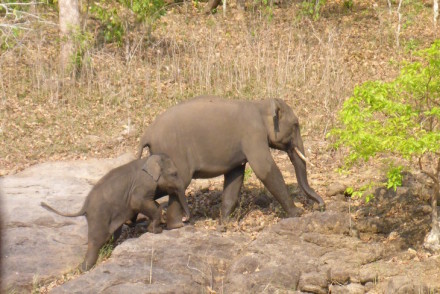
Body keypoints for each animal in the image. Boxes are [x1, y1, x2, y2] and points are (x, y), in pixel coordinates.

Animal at [41, 154, 191, 272]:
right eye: (174, 174)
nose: (185, 220)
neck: (148, 160)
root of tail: (85, 206)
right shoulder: (143, 185)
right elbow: (138, 202)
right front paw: (156, 231)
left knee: (112, 235)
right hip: (99, 216)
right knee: (95, 240)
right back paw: (85, 268)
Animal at [137, 96, 324, 225]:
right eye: (296, 125)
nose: (320, 206)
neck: (260, 104)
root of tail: (146, 134)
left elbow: (235, 176)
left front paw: (226, 222)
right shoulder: (253, 135)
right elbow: (264, 169)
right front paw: (296, 213)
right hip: (173, 153)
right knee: (179, 184)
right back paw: (178, 226)